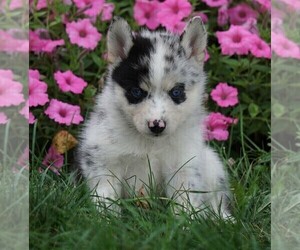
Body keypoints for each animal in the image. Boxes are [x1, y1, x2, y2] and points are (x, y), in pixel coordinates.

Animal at [77, 16, 232, 218]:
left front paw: (186, 222)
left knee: (215, 200)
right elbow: (106, 194)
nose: (157, 125)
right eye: (137, 92)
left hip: (212, 165)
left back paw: (224, 219)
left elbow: (185, 200)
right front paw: (106, 219)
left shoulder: (183, 164)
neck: (150, 145)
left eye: (176, 92)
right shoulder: (103, 158)